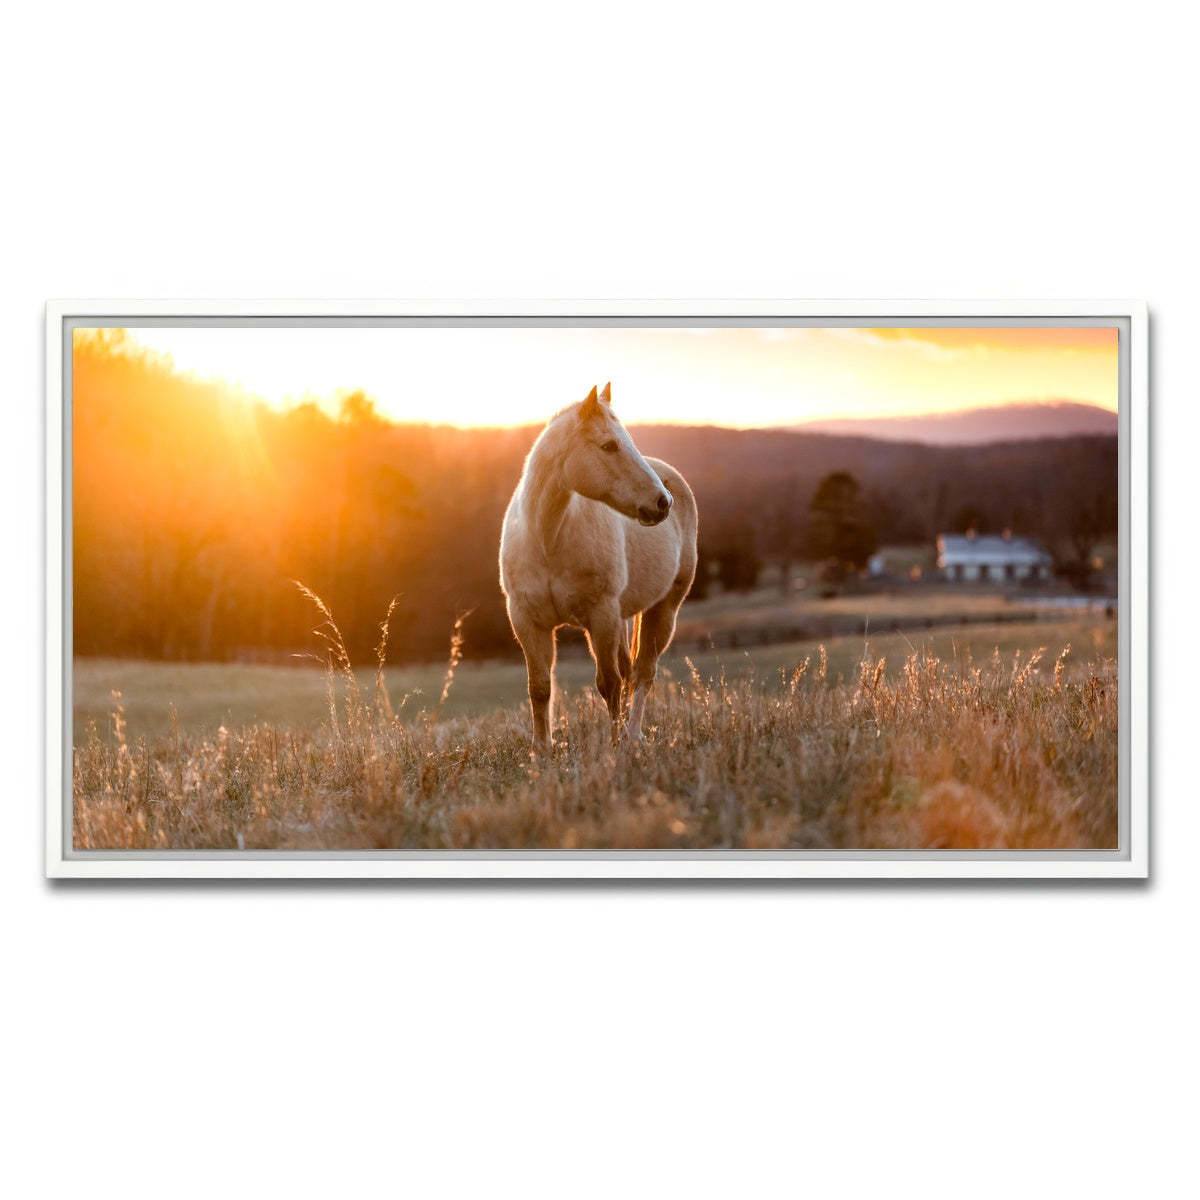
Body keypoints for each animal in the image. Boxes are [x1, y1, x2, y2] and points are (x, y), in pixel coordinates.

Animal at [499, 382, 699, 755]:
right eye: (609, 445)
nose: (662, 502)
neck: (548, 538)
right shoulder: (527, 620)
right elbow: (540, 686)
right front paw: (540, 751)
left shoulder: (601, 616)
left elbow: (609, 683)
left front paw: (614, 745)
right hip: (623, 616)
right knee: (630, 669)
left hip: (663, 610)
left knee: (642, 672)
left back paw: (633, 735)